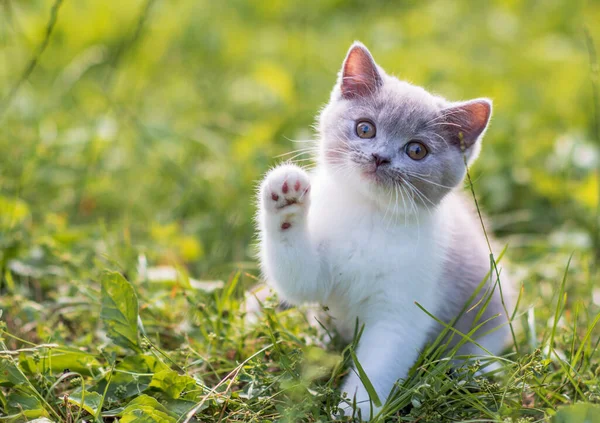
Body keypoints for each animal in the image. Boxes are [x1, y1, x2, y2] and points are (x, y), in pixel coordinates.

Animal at [255, 41, 512, 420]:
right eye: (365, 129)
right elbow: (299, 280)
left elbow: (377, 367)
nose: (379, 157)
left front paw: (354, 411)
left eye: (416, 150)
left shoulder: (403, 310)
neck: (369, 215)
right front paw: (286, 199)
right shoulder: (318, 276)